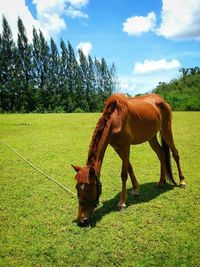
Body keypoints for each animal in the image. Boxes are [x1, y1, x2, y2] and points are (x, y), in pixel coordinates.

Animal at [72, 93, 187, 227]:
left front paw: (122, 202)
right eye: (77, 188)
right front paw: (136, 189)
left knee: (175, 154)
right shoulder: (117, 147)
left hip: (166, 130)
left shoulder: (126, 145)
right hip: (151, 137)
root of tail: (161, 100)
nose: (81, 220)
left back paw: (182, 181)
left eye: (90, 189)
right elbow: (129, 167)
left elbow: (123, 173)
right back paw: (161, 182)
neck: (115, 118)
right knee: (161, 155)